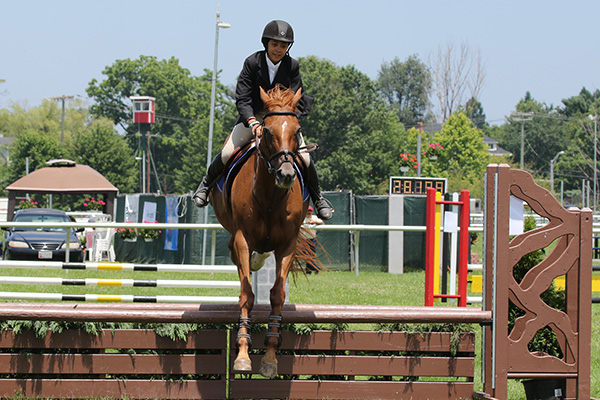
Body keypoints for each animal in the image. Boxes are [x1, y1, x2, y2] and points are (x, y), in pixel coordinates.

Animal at [211, 84, 314, 378]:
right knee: (236, 254)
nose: (286, 175)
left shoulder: (286, 245)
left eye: (296, 130)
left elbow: (277, 295)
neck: (270, 197)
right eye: (267, 131)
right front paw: (243, 355)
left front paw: (269, 356)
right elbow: (246, 294)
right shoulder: (243, 239)